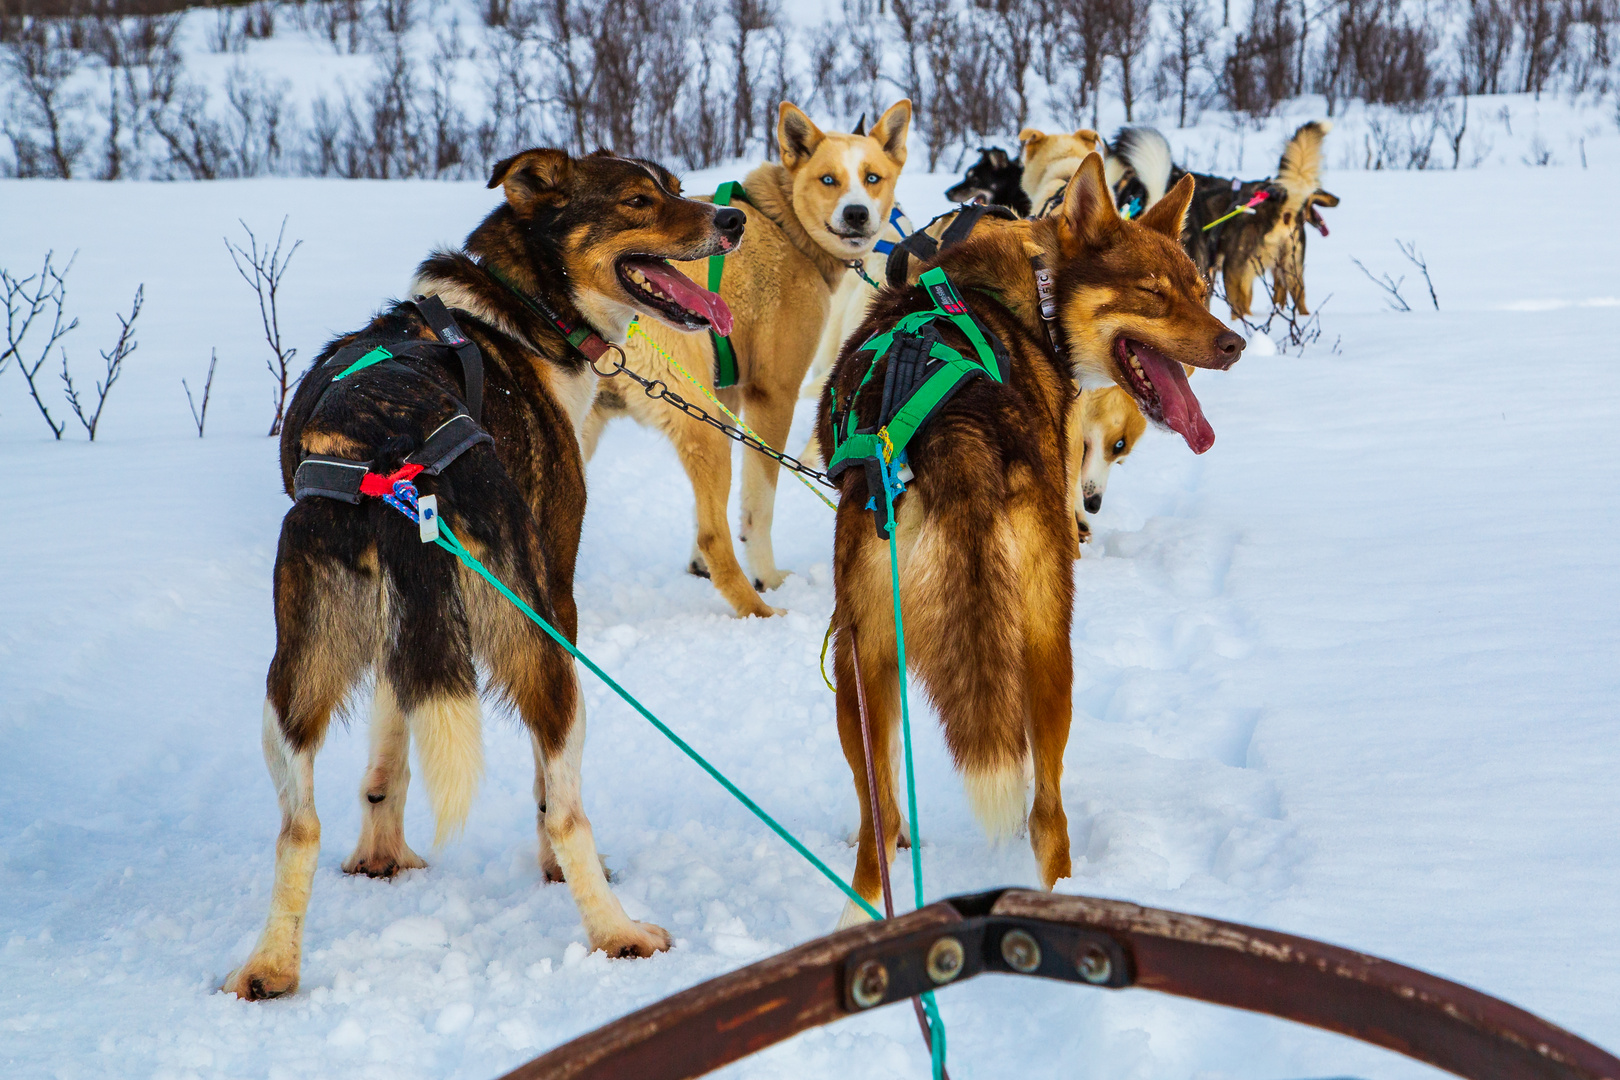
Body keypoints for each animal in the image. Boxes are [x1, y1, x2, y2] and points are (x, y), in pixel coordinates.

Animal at [221, 148, 741, 1003]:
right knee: (565, 807)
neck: (517, 309)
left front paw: (382, 854)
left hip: (292, 679)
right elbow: (545, 796)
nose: (732, 219)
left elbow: (389, 745)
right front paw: (554, 872)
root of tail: (394, 454)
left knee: (298, 827)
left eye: (672, 185)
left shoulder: (406, 634)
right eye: (639, 200)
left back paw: (269, 966)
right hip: (544, 647)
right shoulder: (555, 590)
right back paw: (619, 932)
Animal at [583, 101, 913, 625]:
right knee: (714, 535)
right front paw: (768, 575)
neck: (786, 226)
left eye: (873, 177)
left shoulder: (728, 398)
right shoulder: (770, 395)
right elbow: (759, 504)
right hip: (698, 419)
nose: (857, 213)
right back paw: (757, 605)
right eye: (828, 179)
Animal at [816, 153, 1244, 932]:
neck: (1033, 299)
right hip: (1049, 642)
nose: (1235, 344)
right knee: (1047, 812)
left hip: (861, 655)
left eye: (1200, 290)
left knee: (875, 826)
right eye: (1153, 293)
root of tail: (958, 429)